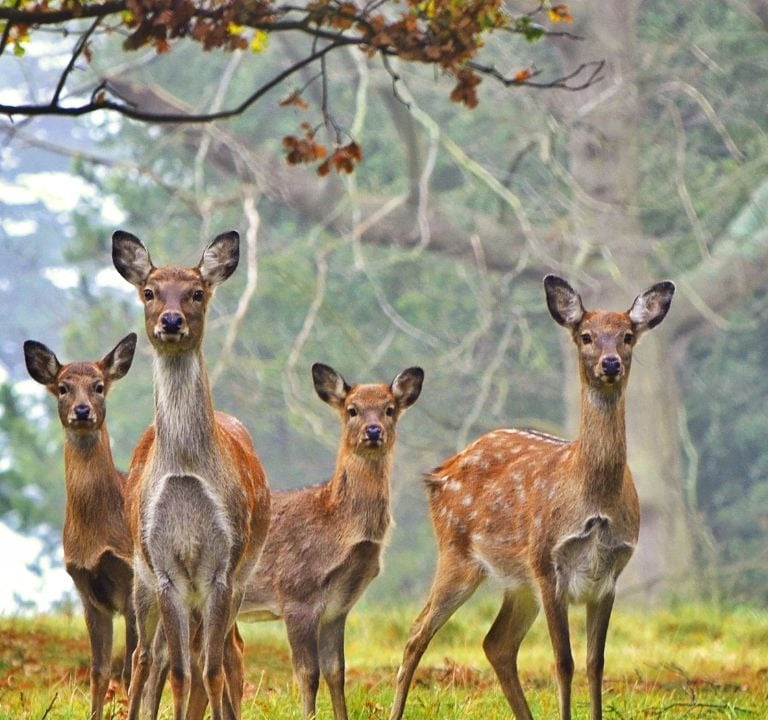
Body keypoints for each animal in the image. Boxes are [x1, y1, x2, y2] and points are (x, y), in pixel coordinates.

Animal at [23, 333, 138, 720]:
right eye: (63, 387)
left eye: (99, 386)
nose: (83, 411)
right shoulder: (87, 590)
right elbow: (99, 670)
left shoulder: (133, 580)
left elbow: (132, 667)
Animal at [111, 230, 271, 720]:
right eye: (149, 292)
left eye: (197, 292)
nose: (171, 320)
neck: (185, 470)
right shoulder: (163, 566)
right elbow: (181, 671)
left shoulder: (224, 564)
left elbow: (211, 668)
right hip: (140, 575)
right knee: (147, 655)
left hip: (240, 577)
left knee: (226, 653)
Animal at [389, 275, 675, 720]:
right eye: (586, 335)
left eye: (628, 336)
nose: (610, 363)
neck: (594, 501)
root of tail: (438, 474)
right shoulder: (547, 563)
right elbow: (564, 662)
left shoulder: (610, 573)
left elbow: (596, 663)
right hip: (458, 552)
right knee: (418, 630)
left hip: (517, 581)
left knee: (497, 643)